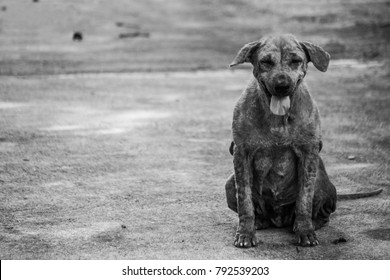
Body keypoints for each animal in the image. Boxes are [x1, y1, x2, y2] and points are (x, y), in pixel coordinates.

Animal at [225, 34, 380, 247]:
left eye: (296, 61)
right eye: (266, 62)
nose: (282, 85)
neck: (278, 118)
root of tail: (278, 219)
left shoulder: (308, 154)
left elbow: (304, 200)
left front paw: (305, 230)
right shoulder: (241, 154)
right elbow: (245, 201)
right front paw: (245, 233)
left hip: (321, 181)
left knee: (323, 213)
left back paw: (311, 224)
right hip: (229, 183)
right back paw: (260, 221)